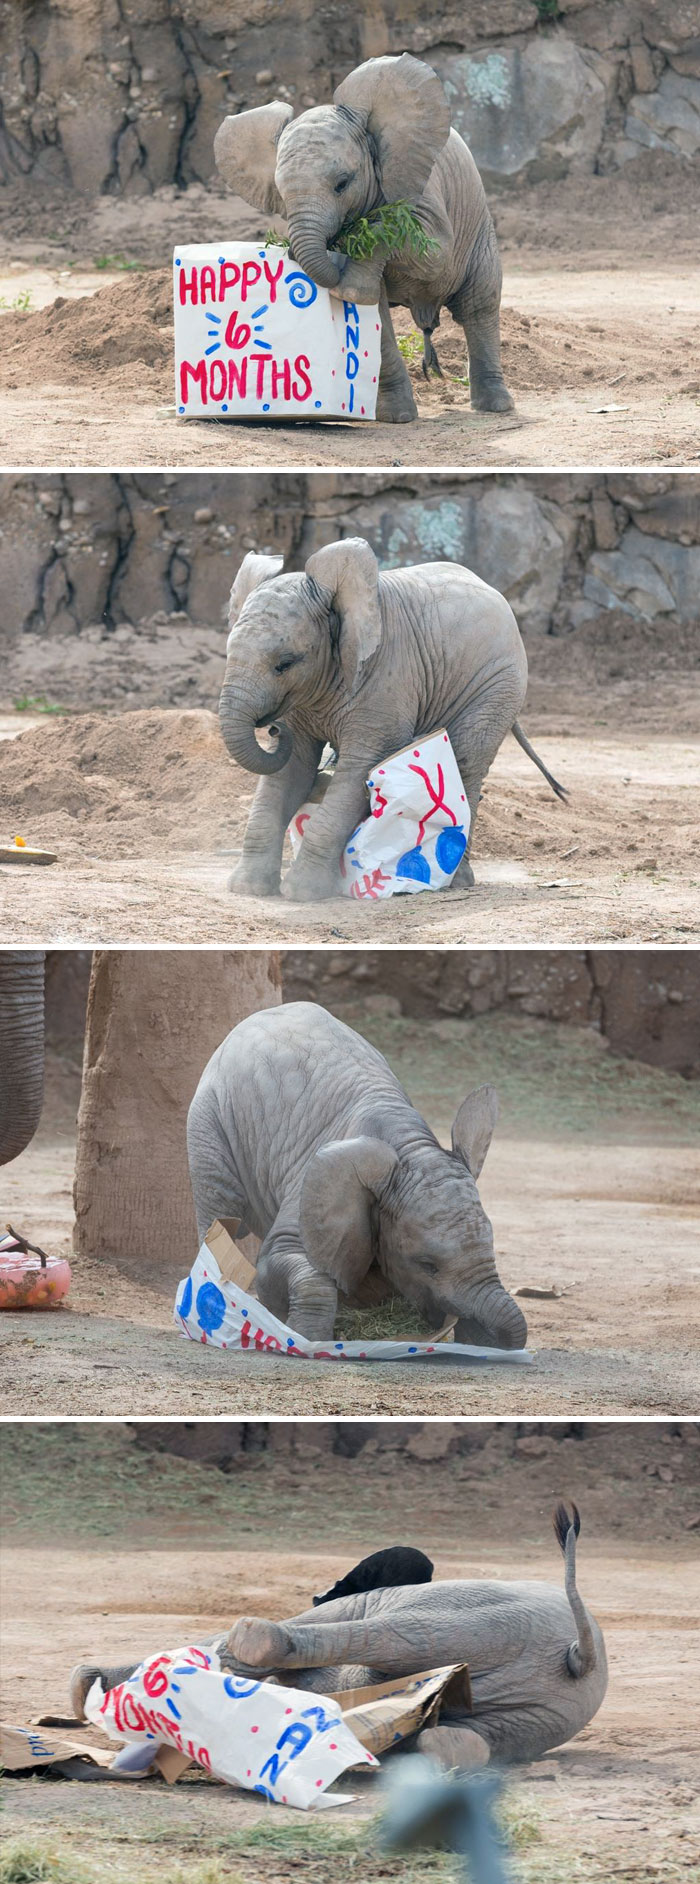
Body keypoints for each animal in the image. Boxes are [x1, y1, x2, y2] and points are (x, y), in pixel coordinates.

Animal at [70, 1505, 608, 1771]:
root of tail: (582, 1657)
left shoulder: (351, 1602)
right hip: (542, 1717)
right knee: (476, 1738)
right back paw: (436, 1750)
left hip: (487, 1622)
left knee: (400, 1638)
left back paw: (252, 1640)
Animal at [186, 999, 528, 1350]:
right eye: (427, 1265)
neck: (412, 1147)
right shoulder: (311, 1184)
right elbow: (277, 1264)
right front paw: (307, 1340)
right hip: (207, 1117)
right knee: (222, 1212)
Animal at [214, 52, 513, 423]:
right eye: (280, 195)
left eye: (342, 184)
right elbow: (376, 318)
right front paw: (396, 419)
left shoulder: (415, 177)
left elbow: (433, 253)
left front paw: (351, 284)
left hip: (479, 231)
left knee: (478, 306)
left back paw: (496, 407)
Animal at [220, 536, 565, 905]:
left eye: (284, 664)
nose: (273, 728)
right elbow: (289, 772)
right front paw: (248, 888)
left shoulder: (386, 677)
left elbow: (358, 770)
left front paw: (304, 894)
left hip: (498, 684)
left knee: (468, 763)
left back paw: (455, 881)